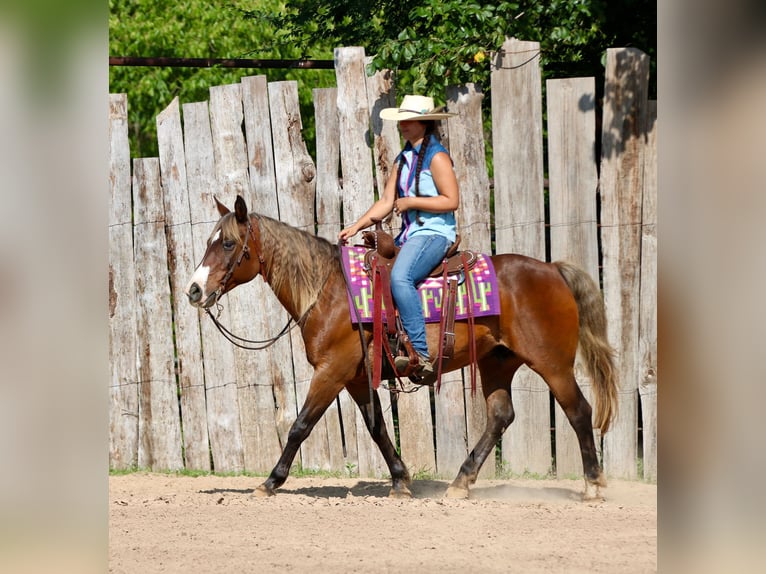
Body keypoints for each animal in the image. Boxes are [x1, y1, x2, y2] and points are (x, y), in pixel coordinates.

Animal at [185, 195, 618, 499]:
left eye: (227, 243)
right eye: (210, 241)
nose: (193, 290)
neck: (330, 291)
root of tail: (554, 270)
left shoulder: (331, 371)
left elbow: (300, 426)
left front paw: (270, 481)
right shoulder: (355, 377)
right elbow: (377, 427)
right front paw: (401, 480)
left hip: (553, 364)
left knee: (579, 412)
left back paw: (593, 486)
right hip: (498, 361)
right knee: (500, 416)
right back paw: (461, 482)